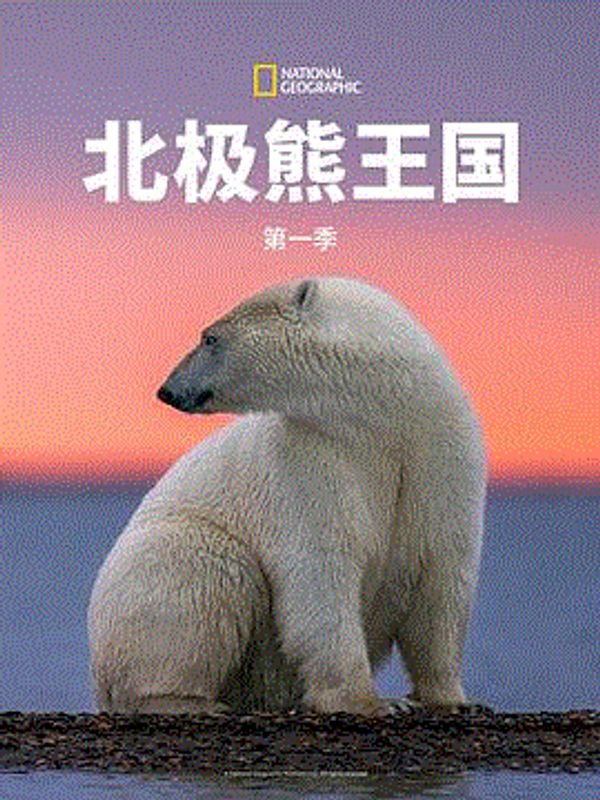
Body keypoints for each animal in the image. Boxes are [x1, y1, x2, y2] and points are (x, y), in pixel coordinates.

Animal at [88, 276, 486, 717]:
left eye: (209, 338)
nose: (167, 390)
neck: (384, 419)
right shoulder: (310, 459)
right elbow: (322, 570)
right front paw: (371, 702)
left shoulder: (440, 454)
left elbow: (442, 578)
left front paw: (448, 698)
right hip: (168, 555)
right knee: (206, 575)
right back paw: (187, 700)